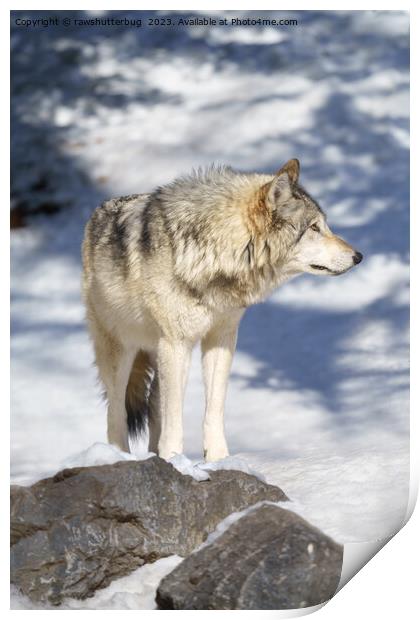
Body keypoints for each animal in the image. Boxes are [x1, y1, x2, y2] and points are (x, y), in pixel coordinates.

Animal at [81, 160, 360, 460]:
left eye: (324, 226)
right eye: (314, 228)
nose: (358, 256)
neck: (215, 253)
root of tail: (96, 212)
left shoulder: (221, 338)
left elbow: (214, 408)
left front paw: (217, 459)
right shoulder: (177, 344)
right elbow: (174, 418)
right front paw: (175, 459)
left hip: (156, 353)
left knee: (154, 405)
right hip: (121, 353)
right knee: (115, 412)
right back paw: (117, 455)